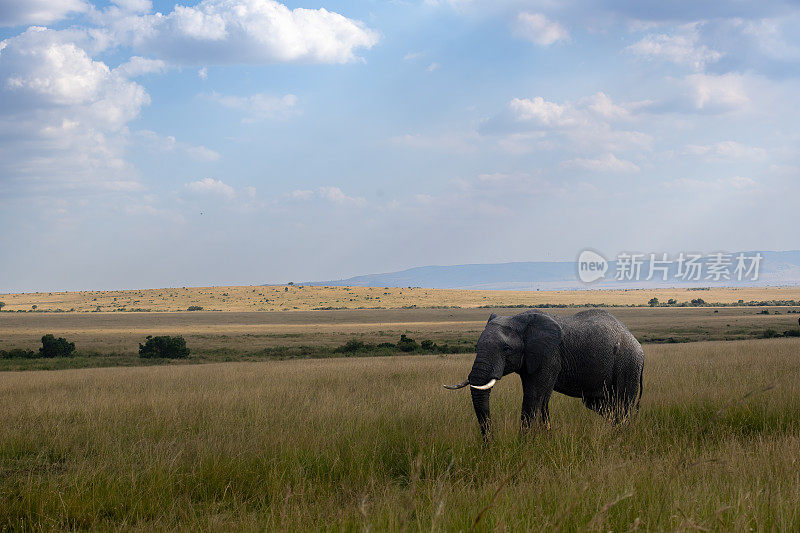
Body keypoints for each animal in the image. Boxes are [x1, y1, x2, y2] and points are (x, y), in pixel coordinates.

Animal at [444, 308, 644, 436]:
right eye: (476, 347)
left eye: (507, 349)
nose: (490, 445)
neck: (519, 319)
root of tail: (636, 342)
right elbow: (541, 398)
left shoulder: (549, 355)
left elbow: (533, 397)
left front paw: (524, 446)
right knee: (601, 405)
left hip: (628, 364)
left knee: (622, 404)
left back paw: (620, 436)